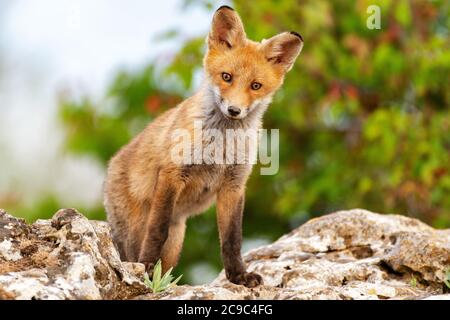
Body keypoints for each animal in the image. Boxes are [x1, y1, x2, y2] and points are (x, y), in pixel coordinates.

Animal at [103, 5, 304, 288]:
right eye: (226, 77)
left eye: (255, 86)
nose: (234, 110)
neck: (220, 146)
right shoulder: (172, 174)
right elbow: (156, 231)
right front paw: (145, 270)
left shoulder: (234, 185)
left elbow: (232, 240)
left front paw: (238, 276)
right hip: (135, 232)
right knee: (133, 251)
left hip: (176, 242)